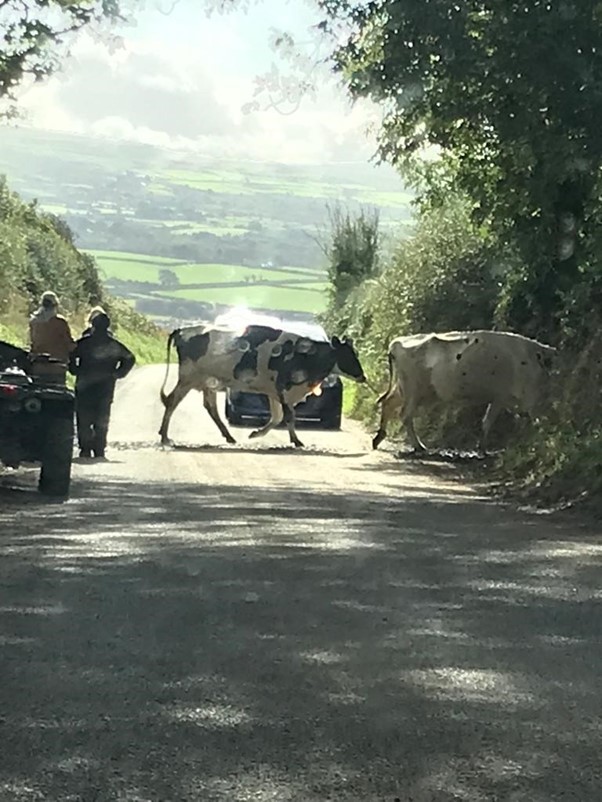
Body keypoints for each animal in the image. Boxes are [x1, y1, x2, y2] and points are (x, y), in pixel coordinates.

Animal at [158, 322, 366, 446]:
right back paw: (165, 436)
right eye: (348, 355)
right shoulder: (283, 388)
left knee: (210, 408)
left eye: (355, 353)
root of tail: (184, 330)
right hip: (188, 377)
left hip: (207, 381)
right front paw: (296, 441)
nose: (363, 376)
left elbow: (277, 417)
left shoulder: (274, 391)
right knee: (172, 401)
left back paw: (229, 437)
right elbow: (289, 416)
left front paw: (256, 434)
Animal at [372, 326, 556, 450]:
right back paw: (419, 447)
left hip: (408, 388)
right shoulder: (521, 398)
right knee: (404, 414)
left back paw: (378, 438)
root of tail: (396, 343)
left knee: (388, 403)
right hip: (414, 390)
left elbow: (487, 421)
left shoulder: (500, 398)